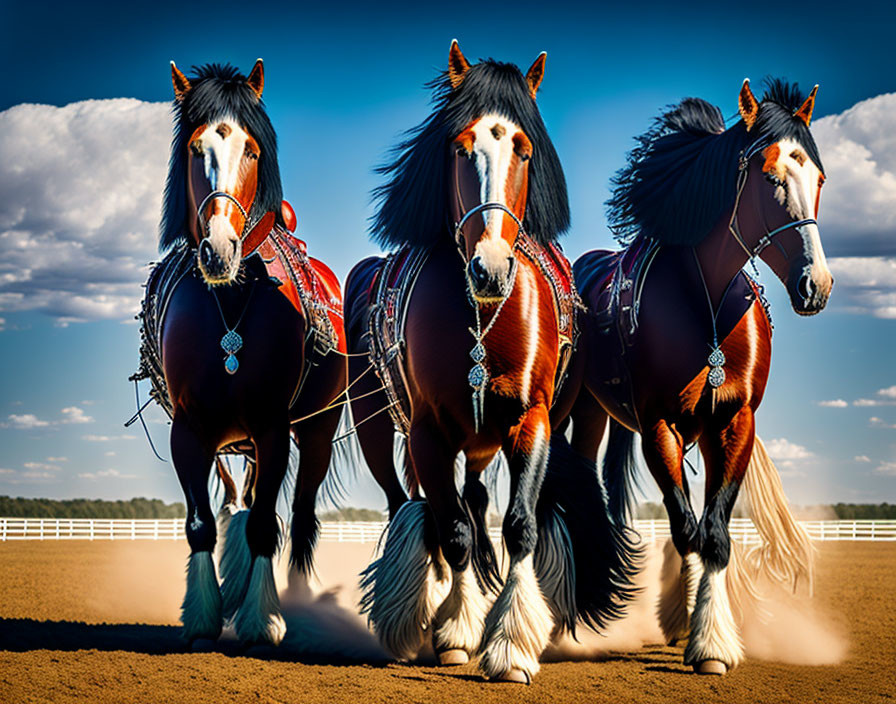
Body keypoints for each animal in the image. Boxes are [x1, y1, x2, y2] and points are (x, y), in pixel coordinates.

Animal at [136, 63, 346, 648]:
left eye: (250, 150)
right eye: (194, 147)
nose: (219, 249)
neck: (230, 303)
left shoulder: (274, 428)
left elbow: (266, 526)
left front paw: (261, 620)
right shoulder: (189, 429)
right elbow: (203, 522)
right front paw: (203, 617)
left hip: (316, 431)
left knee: (298, 514)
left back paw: (294, 602)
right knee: (238, 500)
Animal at [342, 42, 636, 680]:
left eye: (523, 149)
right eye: (460, 146)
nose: (491, 268)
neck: (481, 316)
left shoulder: (532, 418)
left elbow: (519, 525)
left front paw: (510, 647)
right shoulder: (427, 430)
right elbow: (450, 529)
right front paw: (456, 631)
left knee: (478, 499)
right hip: (381, 426)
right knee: (414, 504)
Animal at [556, 78, 836, 676]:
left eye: (819, 178)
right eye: (770, 176)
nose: (816, 285)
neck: (705, 305)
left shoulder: (732, 423)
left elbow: (713, 533)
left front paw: (708, 636)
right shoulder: (659, 425)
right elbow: (687, 527)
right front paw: (702, 634)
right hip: (586, 413)